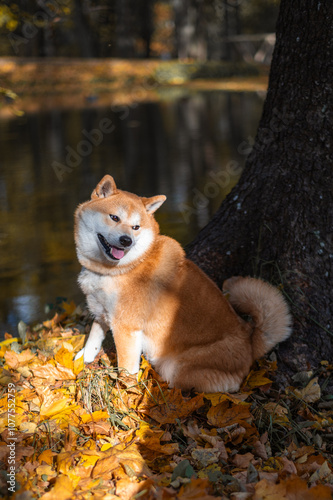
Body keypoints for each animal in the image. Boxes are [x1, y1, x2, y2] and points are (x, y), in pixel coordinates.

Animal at [74, 176, 290, 394]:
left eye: (136, 227)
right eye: (114, 217)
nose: (126, 241)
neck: (123, 267)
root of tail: (250, 343)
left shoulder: (126, 326)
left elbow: (126, 371)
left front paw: (124, 394)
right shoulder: (100, 310)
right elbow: (93, 338)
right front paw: (82, 360)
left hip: (176, 367)